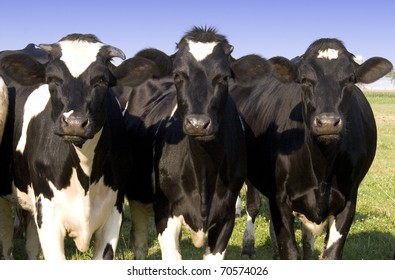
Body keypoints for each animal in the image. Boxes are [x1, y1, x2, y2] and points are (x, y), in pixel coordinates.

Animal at [0, 35, 147, 260]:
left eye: (102, 81)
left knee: (31, 246)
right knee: (6, 242)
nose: (75, 123)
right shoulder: (48, 214)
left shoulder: (114, 211)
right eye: (52, 79)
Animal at [113, 26, 272, 260]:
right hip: (137, 197)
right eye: (178, 75)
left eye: (224, 77)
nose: (198, 124)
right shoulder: (165, 214)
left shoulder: (225, 220)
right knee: (140, 243)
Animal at [230, 38, 394, 260]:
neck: (321, 165)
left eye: (350, 79)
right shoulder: (280, 200)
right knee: (253, 206)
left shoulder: (348, 201)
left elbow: (330, 253)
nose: (327, 122)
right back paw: (248, 245)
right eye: (305, 79)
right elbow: (290, 251)